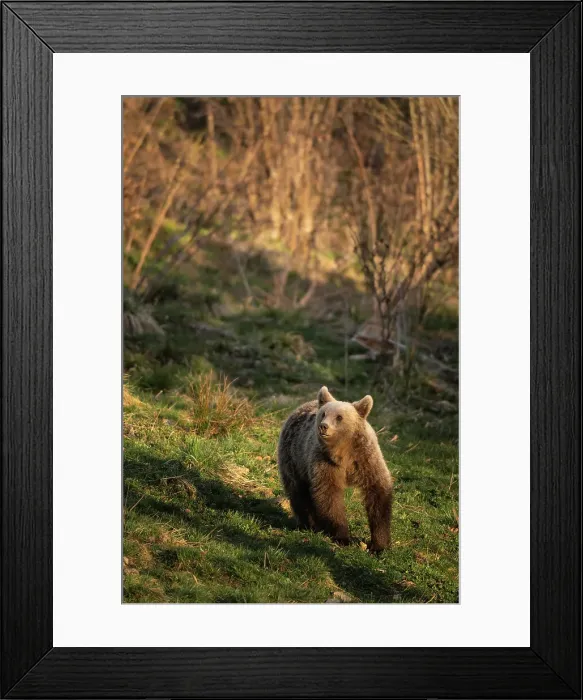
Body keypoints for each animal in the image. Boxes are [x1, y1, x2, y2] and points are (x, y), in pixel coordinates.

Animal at [277, 386, 393, 553]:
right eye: (324, 414)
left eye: (339, 417)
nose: (323, 426)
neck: (342, 451)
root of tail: (299, 407)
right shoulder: (325, 462)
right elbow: (329, 495)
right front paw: (343, 537)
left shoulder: (365, 459)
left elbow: (378, 493)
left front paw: (379, 544)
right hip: (294, 458)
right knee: (298, 491)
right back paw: (309, 524)